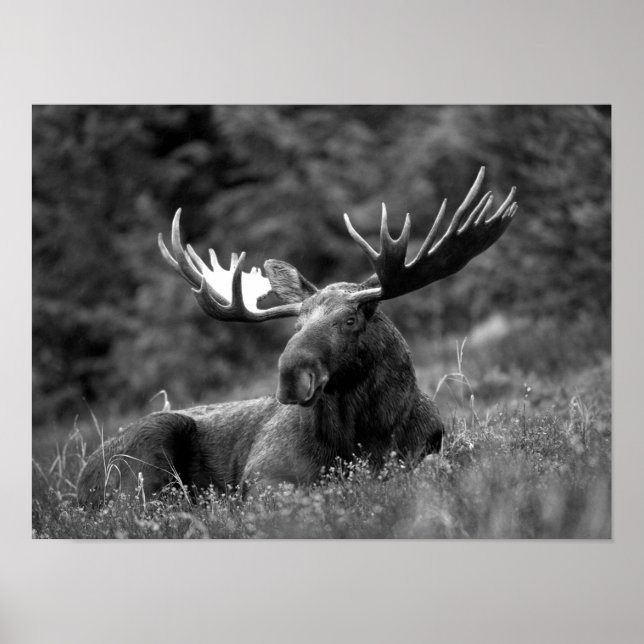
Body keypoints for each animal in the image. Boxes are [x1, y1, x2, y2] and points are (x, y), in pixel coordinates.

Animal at [77, 167, 517, 507]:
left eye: (350, 319)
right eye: (296, 324)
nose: (291, 376)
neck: (364, 437)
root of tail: (79, 480)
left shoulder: (428, 452)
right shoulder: (263, 475)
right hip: (147, 454)